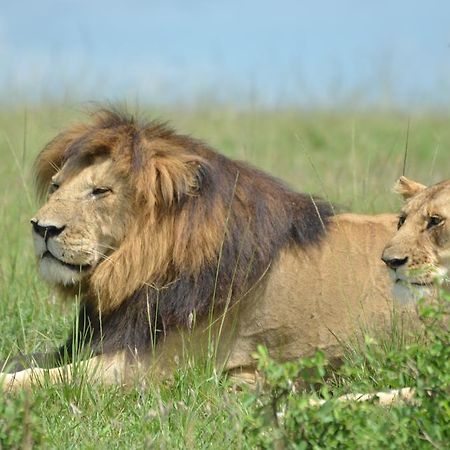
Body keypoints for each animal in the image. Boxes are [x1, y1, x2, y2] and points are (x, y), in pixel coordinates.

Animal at [1, 110, 420, 390]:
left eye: (100, 191)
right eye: (56, 186)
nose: (41, 228)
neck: (135, 270)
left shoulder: (152, 366)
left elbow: (39, 378)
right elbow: (23, 359)